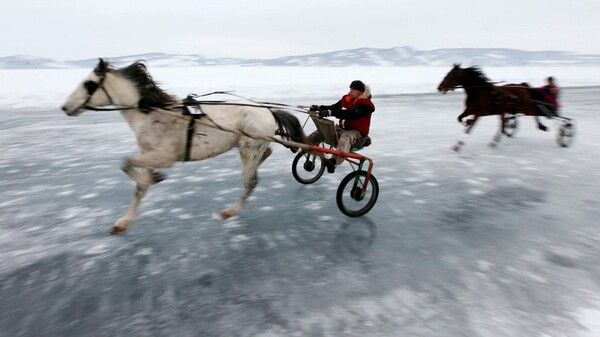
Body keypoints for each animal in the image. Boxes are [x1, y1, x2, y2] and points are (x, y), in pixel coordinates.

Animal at [61, 57, 304, 234]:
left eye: (88, 84)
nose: (65, 107)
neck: (153, 113)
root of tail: (268, 110)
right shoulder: (148, 155)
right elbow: (138, 188)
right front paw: (124, 221)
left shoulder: (164, 157)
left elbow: (125, 163)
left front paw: (153, 179)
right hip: (249, 146)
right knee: (266, 153)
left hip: (248, 148)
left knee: (250, 181)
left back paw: (229, 212)